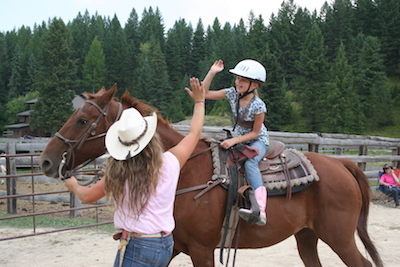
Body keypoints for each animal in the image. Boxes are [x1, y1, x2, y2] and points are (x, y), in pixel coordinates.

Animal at [39, 86, 382, 267]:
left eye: (82, 120)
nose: (47, 161)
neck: (185, 170)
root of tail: (343, 165)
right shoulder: (175, 244)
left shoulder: (202, 249)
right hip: (307, 236)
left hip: (338, 237)